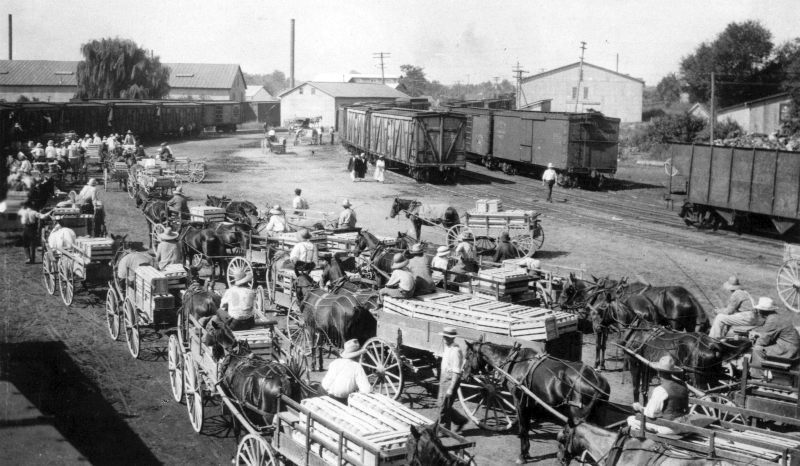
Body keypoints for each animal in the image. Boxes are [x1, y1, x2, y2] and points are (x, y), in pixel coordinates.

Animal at [460, 340, 608, 464]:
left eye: (467, 356)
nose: (464, 375)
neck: (515, 362)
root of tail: (600, 382)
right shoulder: (529, 402)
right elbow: (527, 426)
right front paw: (526, 452)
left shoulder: (519, 401)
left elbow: (523, 428)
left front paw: (522, 455)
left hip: (578, 415)